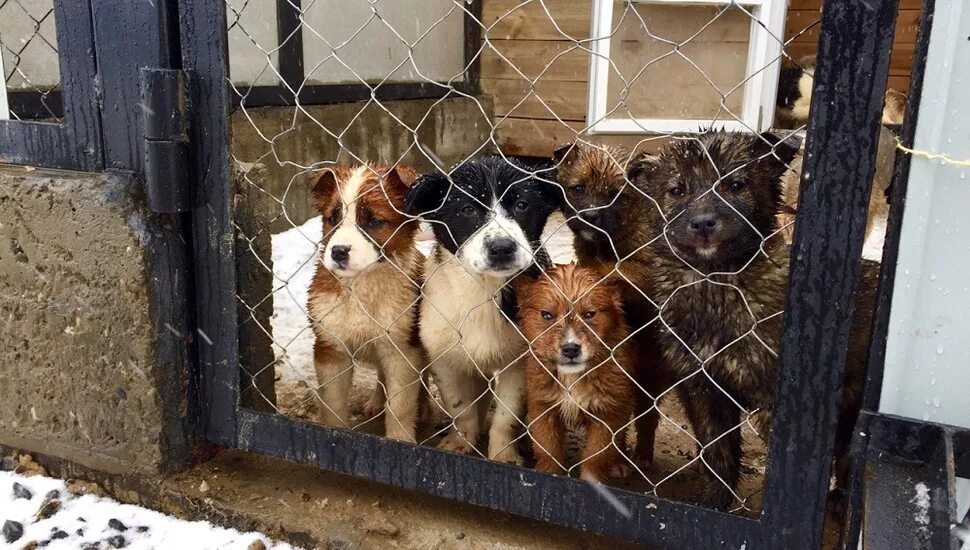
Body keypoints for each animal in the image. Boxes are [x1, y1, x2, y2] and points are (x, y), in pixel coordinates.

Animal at [304, 164, 422, 444]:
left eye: (375, 221)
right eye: (332, 219)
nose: (338, 252)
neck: (361, 285)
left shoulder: (402, 350)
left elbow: (400, 405)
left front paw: (401, 440)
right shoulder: (330, 348)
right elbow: (333, 403)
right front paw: (335, 433)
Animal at [404, 156, 556, 466]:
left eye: (522, 205)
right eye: (467, 209)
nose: (502, 248)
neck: (483, 288)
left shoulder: (520, 362)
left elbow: (506, 417)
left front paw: (503, 455)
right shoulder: (445, 358)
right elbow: (460, 407)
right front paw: (460, 443)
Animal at [516, 264, 636, 484]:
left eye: (589, 314)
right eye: (547, 315)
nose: (571, 349)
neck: (572, 377)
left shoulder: (609, 412)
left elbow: (596, 456)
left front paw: (592, 482)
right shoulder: (542, 407)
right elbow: (548, 450)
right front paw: (548, 473)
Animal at [556, 142, 668, 466]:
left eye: (615, 194)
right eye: (578, 188)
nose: (591, 216)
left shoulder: (647, 270)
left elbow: (614, 269)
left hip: (649, 374)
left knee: (645, 417)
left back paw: (640, 456)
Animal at [628, 132, 876, 512]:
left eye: (736, 184)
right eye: (676, 190)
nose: (704, 223)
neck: (717, 286)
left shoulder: (778, 402)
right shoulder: (702, 388)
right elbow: (717, 455)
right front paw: (714, 504)